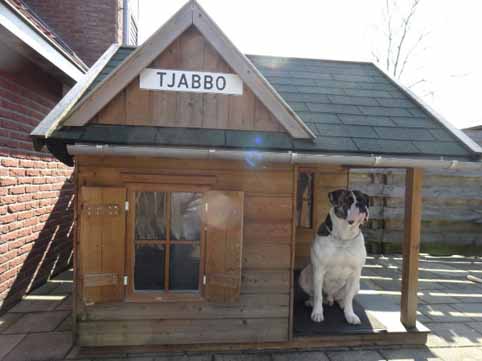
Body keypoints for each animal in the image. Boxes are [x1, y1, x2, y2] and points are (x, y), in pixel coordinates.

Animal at [300, 188, 370, 324]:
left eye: (364, 200)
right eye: (348, 201)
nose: (362, 205)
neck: (344, 237)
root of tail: (330, 296)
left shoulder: (355, 273)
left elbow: (349, 297)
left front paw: (350, 315)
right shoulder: (319, 271)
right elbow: (318, 296)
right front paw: (317, 313)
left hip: (356, 285)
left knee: (342, 297)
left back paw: (341, 303)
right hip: (304, 275)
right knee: (315, 294)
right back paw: (311, 302)